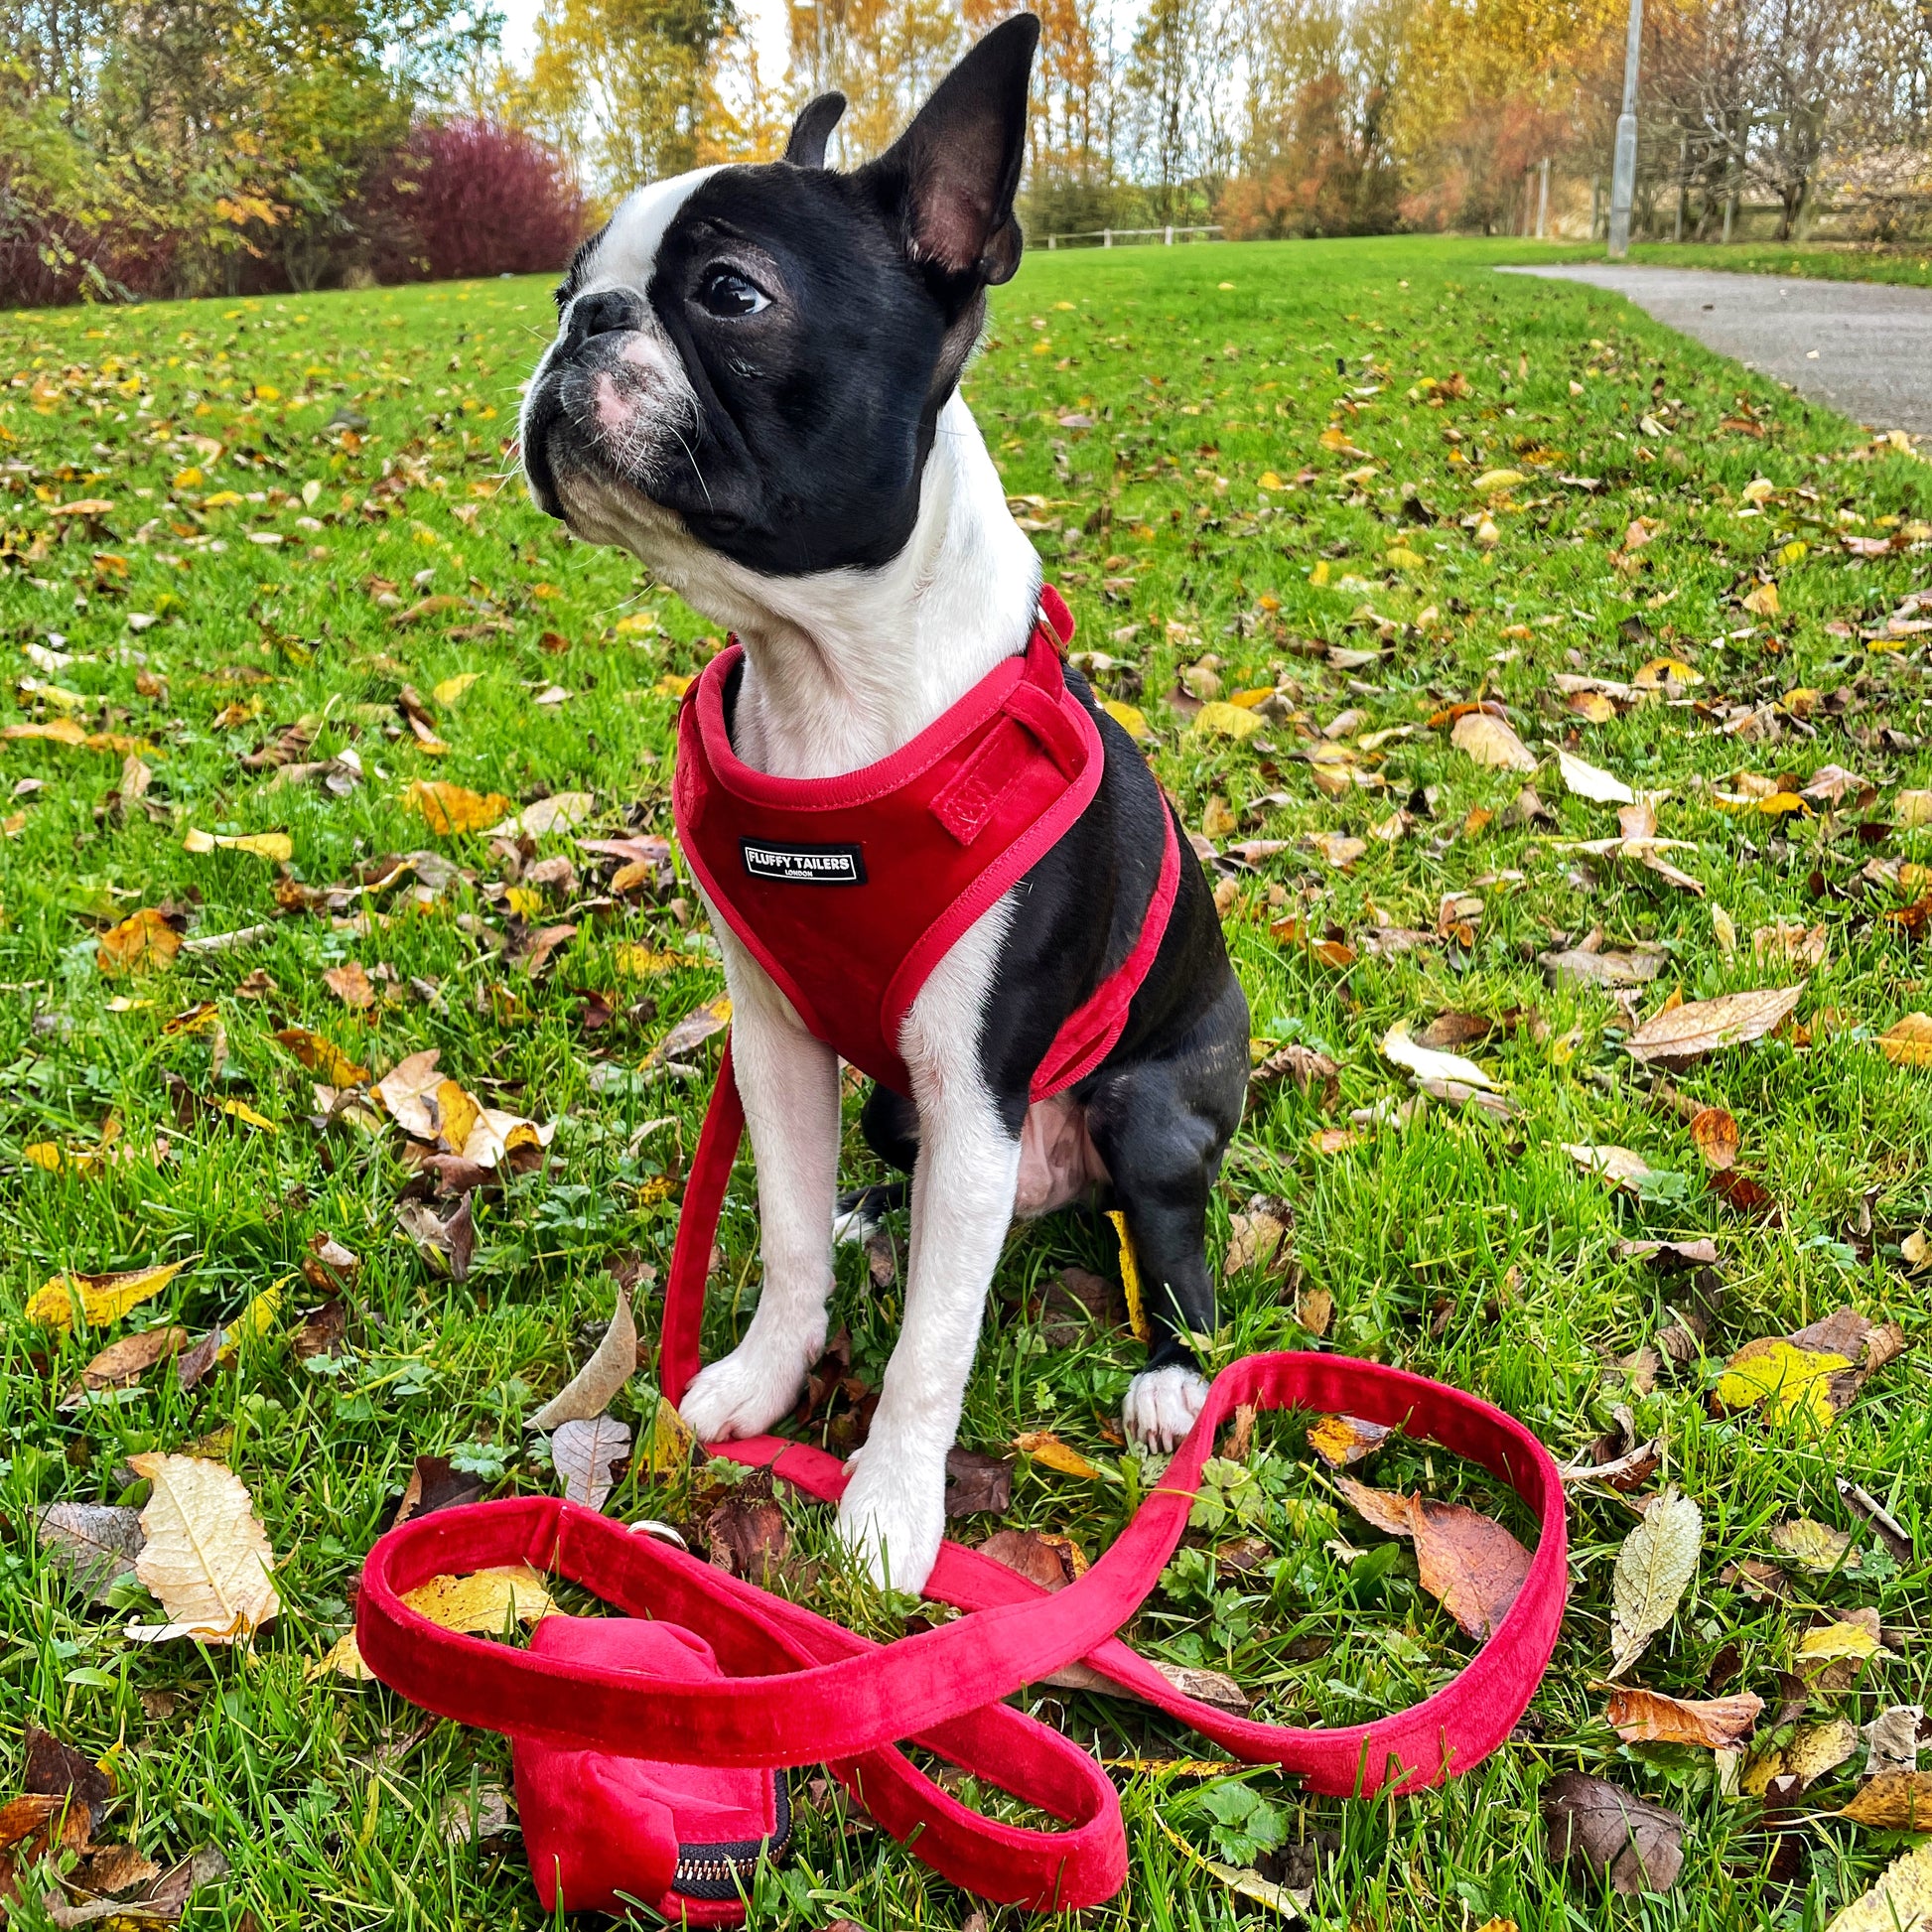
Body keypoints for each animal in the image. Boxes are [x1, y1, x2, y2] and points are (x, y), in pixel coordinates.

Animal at [521, 11, 1244, 1584]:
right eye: (561, 285)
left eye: (730, 294)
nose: (580, 323)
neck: (826, 681)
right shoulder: (780, 1039)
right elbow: (785, 1230)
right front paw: (762, 1374)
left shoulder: (975, 1082)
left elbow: (930, 1345)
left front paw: (889, 1506)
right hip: (901, 1116)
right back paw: (872, 1217)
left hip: (1145, 1107)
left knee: (1173, 1244)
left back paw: (1172, 1375)